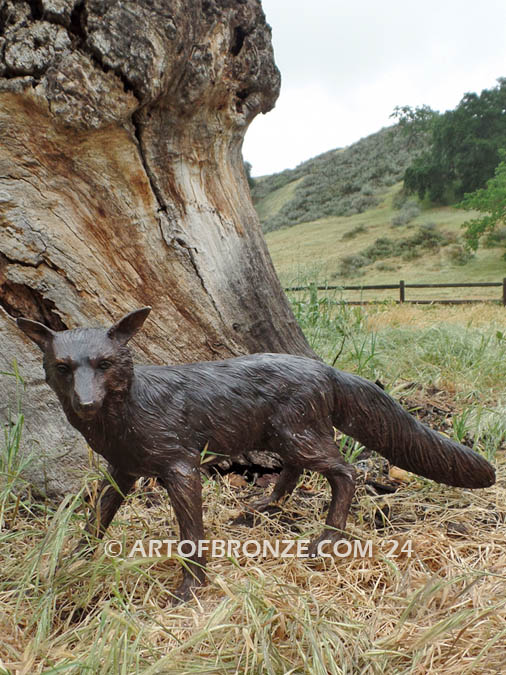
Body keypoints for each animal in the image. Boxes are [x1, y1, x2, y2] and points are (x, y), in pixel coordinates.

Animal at [17, 307, 495, 601]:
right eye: (63, 368)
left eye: (104, 364)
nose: (86, 404)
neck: (130, 411)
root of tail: (324, 367)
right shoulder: (123, 469)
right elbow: (97, 518)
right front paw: (73, 561)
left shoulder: (181, 468)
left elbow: (191, 537)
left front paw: (191, 589)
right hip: (285, 438)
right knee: (296, 471)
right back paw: (265, 507)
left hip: (298, 436)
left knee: (345, 472)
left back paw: (327, 538)